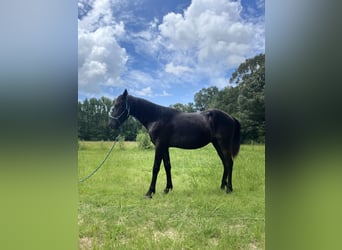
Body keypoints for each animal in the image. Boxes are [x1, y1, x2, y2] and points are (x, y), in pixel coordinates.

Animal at [107, 89, 240, 198]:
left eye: (119, 105)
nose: (111, 125)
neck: (156, 117)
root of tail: (231, 118)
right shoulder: (164, 147)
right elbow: (167, 166)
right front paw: (167, 189)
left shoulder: (159, 146)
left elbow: (156, 167)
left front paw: (149, 193)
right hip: (217, 144)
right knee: (225, 163)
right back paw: (222, 186)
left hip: (224, 144)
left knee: (229, 163)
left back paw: (229, 189)